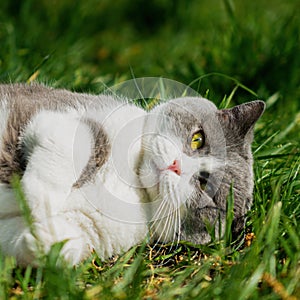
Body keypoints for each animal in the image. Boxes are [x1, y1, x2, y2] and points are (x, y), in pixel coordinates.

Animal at [0, 82, 264, 264]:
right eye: (198, 139)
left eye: (204, 184)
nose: (175, 165)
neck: (135, 185)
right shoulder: (61, 112)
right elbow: (67, 141)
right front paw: (39, 200)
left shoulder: (99, 228)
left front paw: (45, 237)